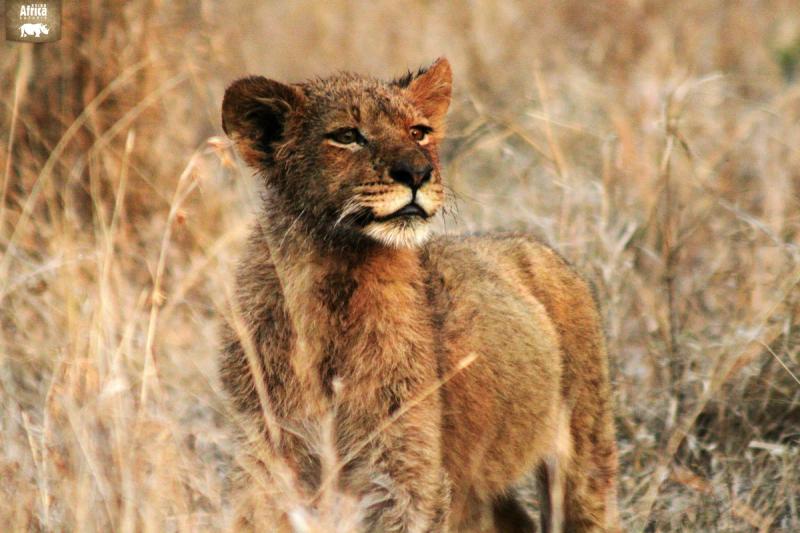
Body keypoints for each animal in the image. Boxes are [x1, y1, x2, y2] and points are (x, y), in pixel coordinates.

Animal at [219, 58, 620, 532]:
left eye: (419, 132)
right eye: (347, 135)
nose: (417, 173)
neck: (337, 278)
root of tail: (538, 245)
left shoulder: (406, 473)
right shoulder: (266, 456)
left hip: (584, 449)